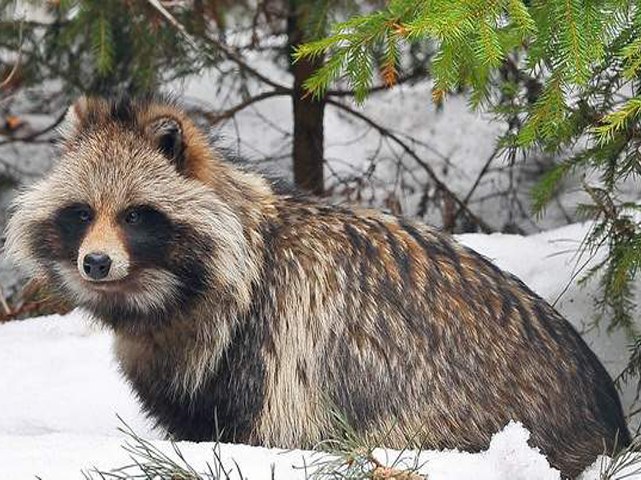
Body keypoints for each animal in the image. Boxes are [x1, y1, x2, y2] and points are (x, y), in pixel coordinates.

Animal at [6, 96, 632, 476]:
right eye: (82, 213)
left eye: (135, 215)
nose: (96, 263)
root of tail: (605, 414)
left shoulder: (272, 349)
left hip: (449, 407)